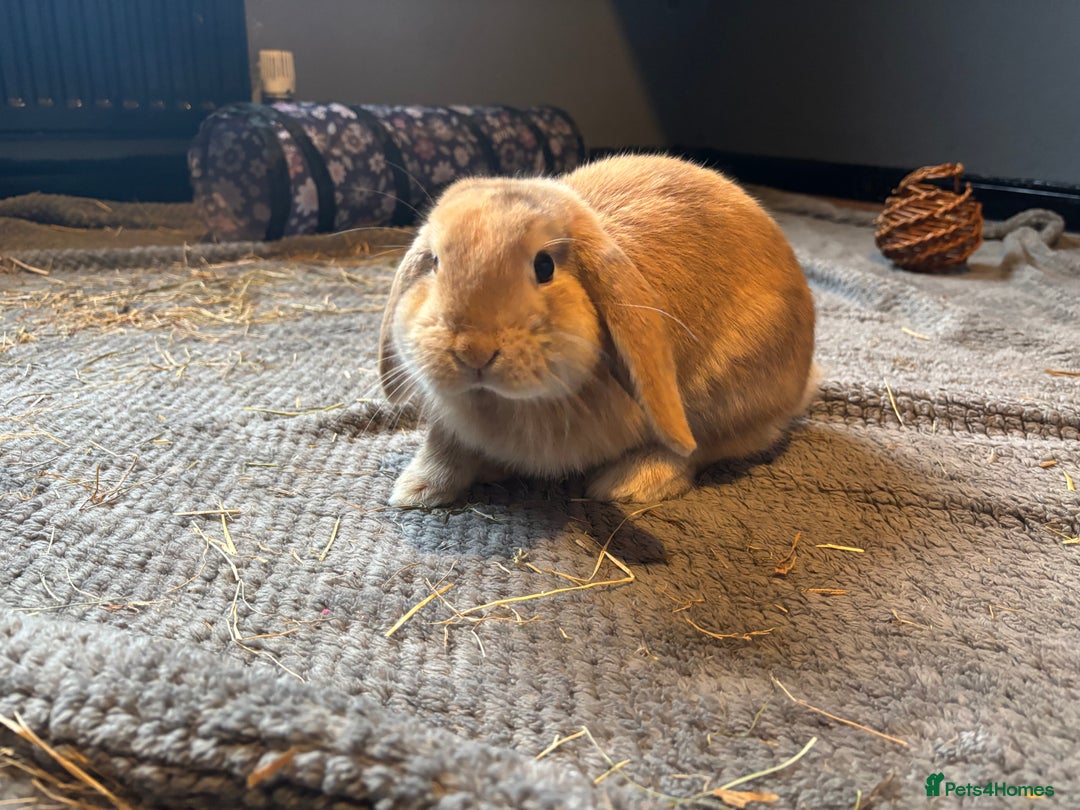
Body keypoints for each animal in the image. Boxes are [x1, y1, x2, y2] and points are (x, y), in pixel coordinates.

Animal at [378, 153, 816, 507]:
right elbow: (444, 446)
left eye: (544, 267)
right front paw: (416, 491)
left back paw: (628, 484)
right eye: (434, 262)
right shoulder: (449, 425)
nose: (473, 351)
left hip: (727, 390)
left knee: (698, 448)